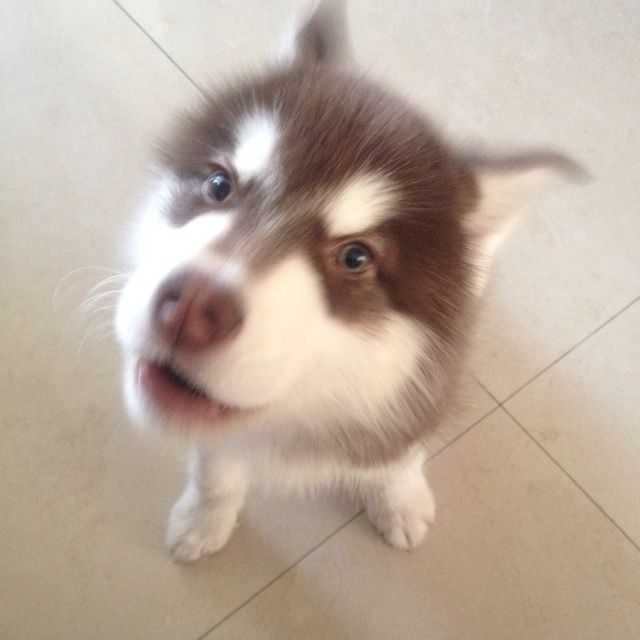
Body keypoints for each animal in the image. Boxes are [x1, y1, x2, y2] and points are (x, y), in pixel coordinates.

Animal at [115, 0, 580, 561]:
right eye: (219, 185)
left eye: (356, 257)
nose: (190, 308)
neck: (300, 416)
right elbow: (215, 472)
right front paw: (204, 518)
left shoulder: (423, 393)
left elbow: (399, 457)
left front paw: (400, 499)